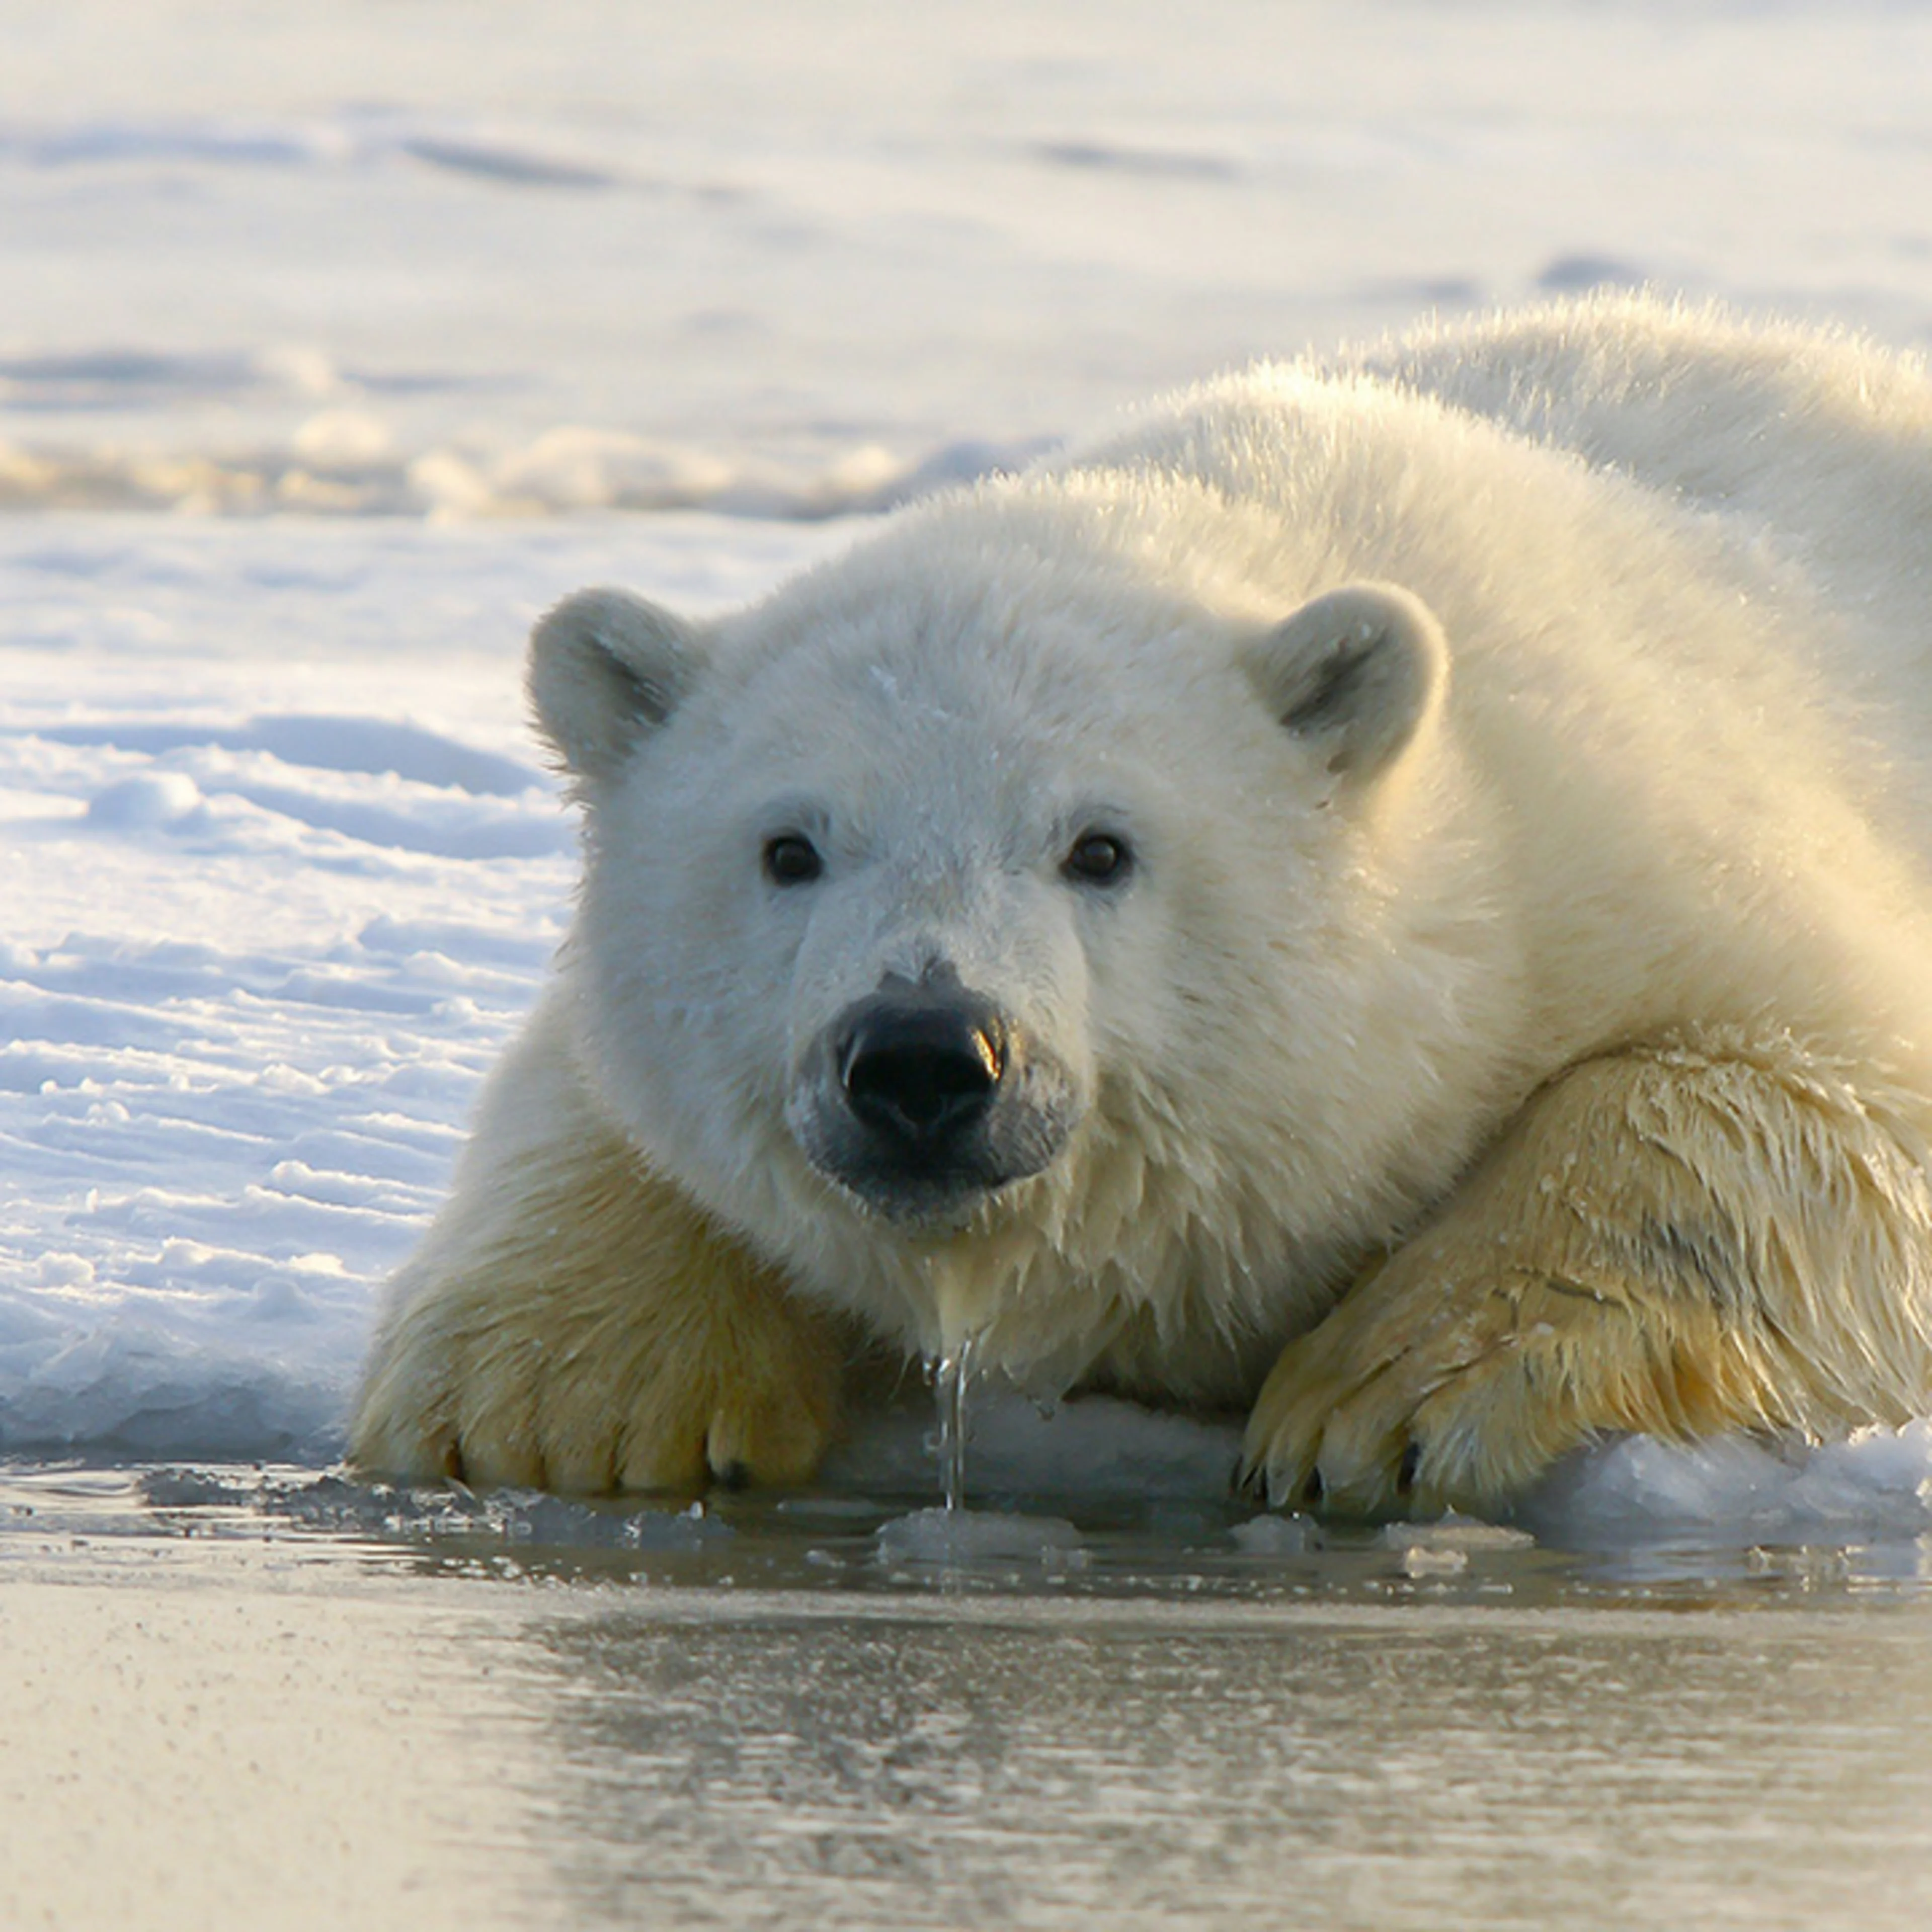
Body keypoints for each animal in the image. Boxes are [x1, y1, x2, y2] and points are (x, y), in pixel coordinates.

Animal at [350, 292, 1932, 1519]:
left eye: (1099, 848)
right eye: (789, 849)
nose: (923, 1057)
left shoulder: (1657, 840)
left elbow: (1799, 1104)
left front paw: (1392, 1393)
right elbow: (592, 1092)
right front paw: (560, 1399)